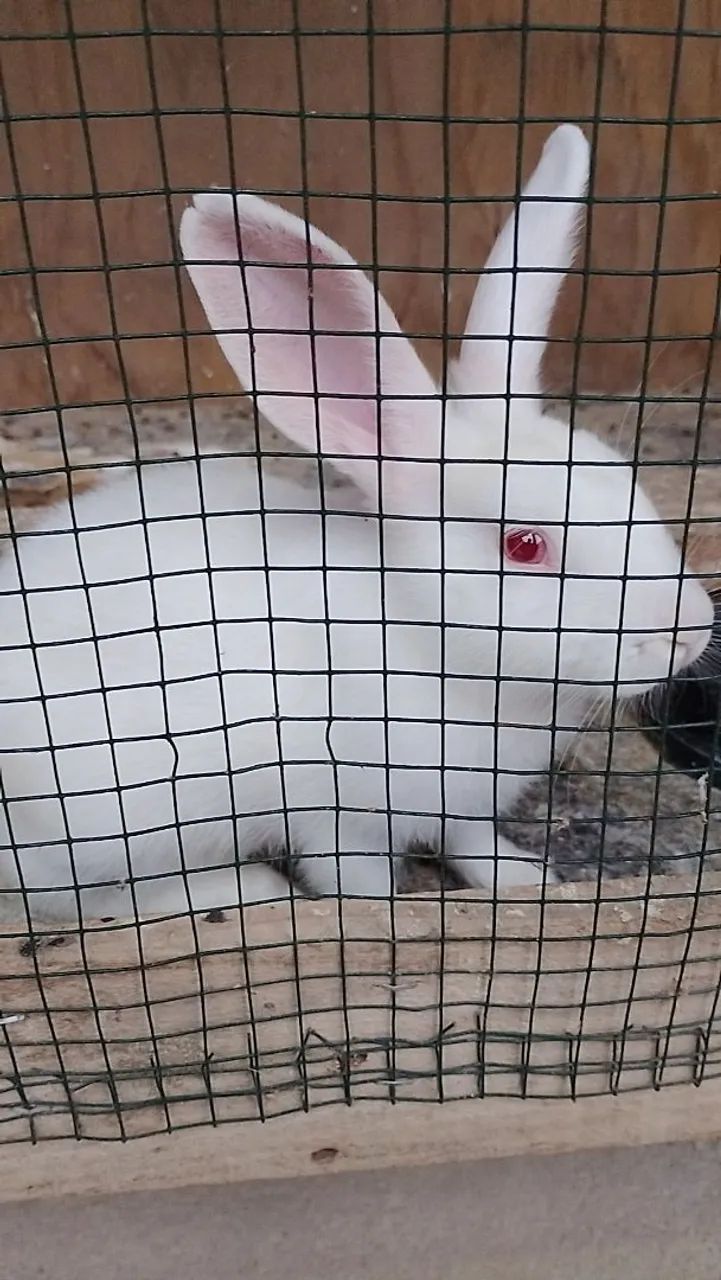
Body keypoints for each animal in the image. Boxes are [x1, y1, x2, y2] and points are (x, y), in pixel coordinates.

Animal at [0, 124, 713, 924]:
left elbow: (474, 845)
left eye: (626, 479)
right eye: (525, 544)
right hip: (105, 824)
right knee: (79, 899)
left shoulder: (460, 807)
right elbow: (358, 882)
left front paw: (529, 880)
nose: (690, 627)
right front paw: (389, 914)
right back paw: (241, 888)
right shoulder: (340, 818)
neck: (433, 642)